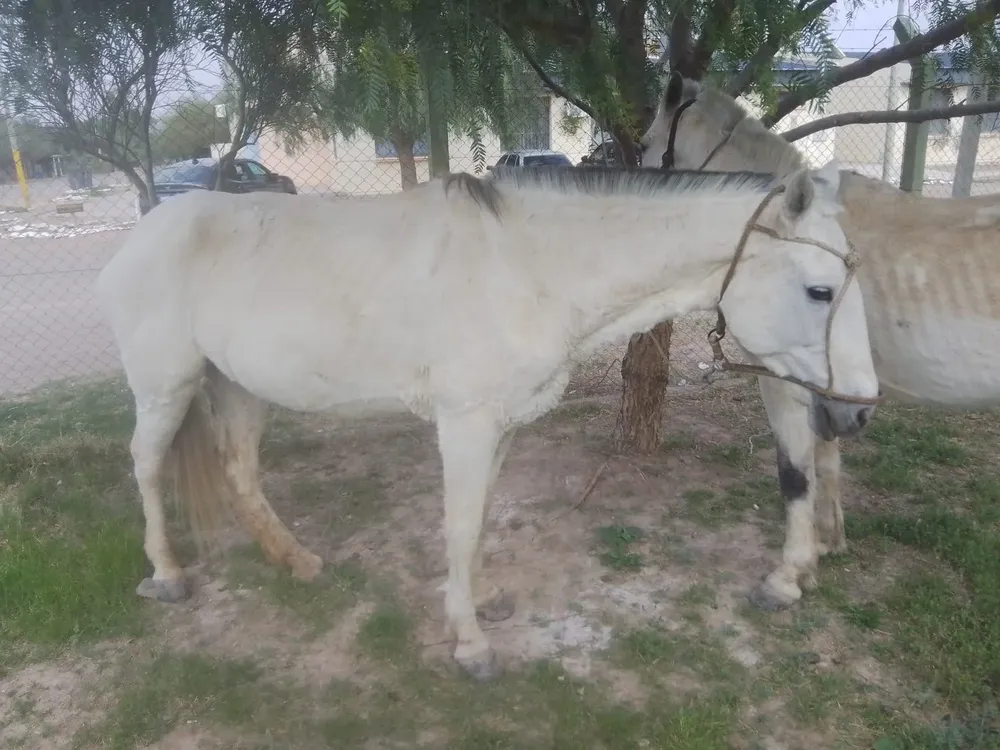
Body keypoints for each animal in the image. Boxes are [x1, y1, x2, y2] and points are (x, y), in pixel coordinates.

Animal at [96, 164, 879, 679]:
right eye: (820, 291)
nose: (857, 411)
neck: (528, 271)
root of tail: (145, 229)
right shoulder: (465, 423)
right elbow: (460, 524)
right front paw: (470, 645)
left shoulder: (500, 425)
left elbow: (479, 523)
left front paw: (480, 602)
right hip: (167, 386)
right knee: (145, 465)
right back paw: (167, 575)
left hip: (237, 386)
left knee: (239, 470)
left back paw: (295, 561)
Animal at [639, 71, 1000, 611]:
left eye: (645, 145)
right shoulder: (830, 388)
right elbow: (827, 462)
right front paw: (825, 545)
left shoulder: (784, 379)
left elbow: (794, 473)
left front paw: (787, 576)